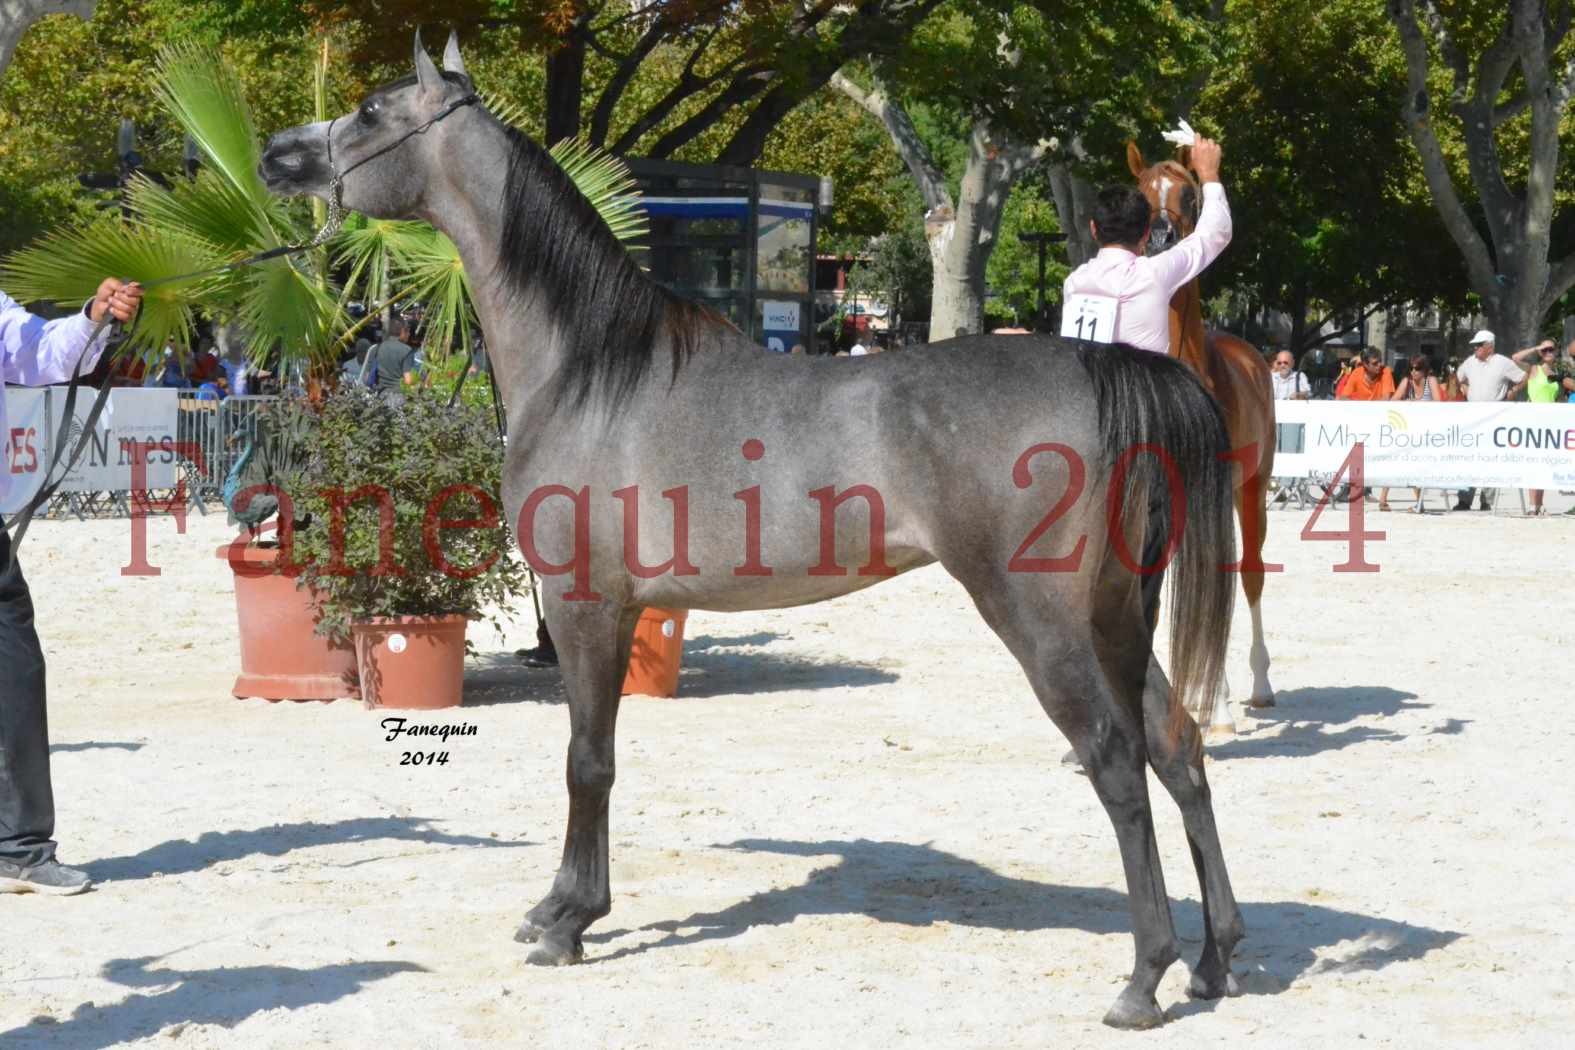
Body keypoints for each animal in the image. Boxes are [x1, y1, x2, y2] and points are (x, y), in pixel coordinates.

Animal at [267, 34, 1253, 1032]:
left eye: (372, 112)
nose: (276, 155)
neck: (592, 371)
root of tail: (1105, 366)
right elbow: (595, 759)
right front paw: (558, 908)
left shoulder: (585, 605)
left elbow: (587, 761)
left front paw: (567, 922)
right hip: (1115, 615)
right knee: (1177, 745)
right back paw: (1215, 959)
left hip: (1039, 619)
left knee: (1116, 761)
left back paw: (1143, 978)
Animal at [1127, 139, 1272, 717]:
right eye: (1141, 192)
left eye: (1190, 194)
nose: (1160, 239)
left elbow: (1216, 579)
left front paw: (1218, 706)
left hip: (1252, 490)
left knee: (1249, 573)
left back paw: (1259, 685)